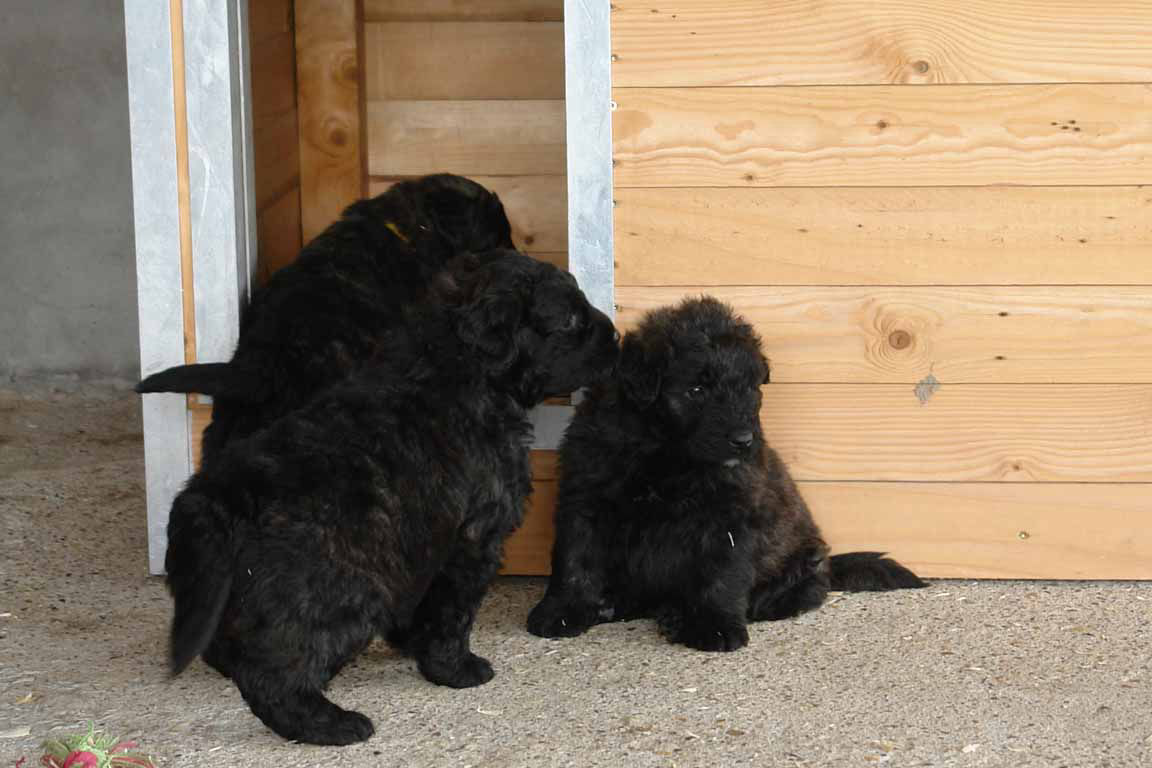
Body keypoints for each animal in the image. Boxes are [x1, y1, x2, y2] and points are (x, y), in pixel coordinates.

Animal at [165, 250, 619, 745]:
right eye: (571, 319)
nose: (615, 335)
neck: (459, 363)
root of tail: (217, 496)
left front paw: (412, 645)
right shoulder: (473, 538)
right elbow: (452, 612)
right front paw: (455, 669)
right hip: (343, 590)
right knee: (274, 672)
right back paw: (330, 723)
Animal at [527, 297, 924, 652]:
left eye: (750, 388)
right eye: (696, 390)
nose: (744, 440)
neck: (666, 454)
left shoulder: (730, 516)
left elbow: (721, 575)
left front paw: (714, 626)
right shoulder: (585, 498)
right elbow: (574, 561)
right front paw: (561, 611)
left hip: (803, 558)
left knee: (793, 594)